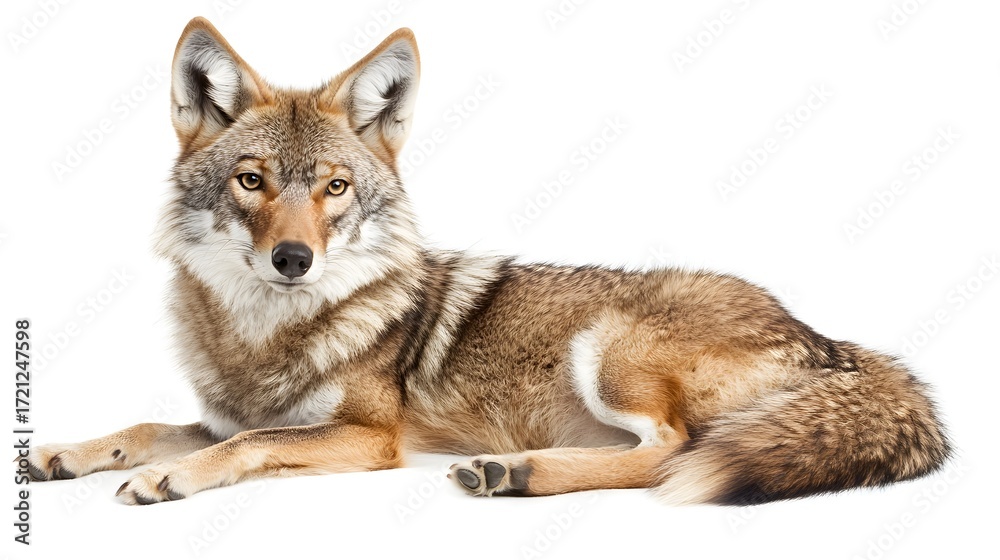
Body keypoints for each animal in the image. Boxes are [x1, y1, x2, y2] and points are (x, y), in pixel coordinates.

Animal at [25, 17, 949, 506]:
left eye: (333, 188)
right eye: (252, 181)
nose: (292, 258)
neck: (263, 332)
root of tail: (834, 342)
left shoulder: (369, 437)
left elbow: (249, 440)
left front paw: (169, 478)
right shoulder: (219, 411)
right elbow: (147, 426)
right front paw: (67, 451)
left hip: (608, 351)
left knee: (671, 452)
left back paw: (522, 471)